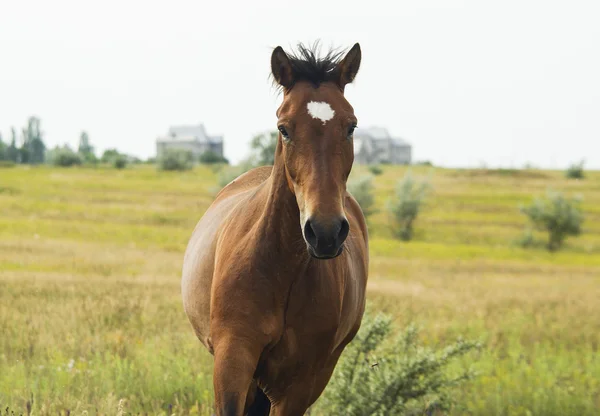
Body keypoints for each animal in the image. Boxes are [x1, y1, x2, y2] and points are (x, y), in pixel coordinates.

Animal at [182, 43, 370, 416]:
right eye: (284, 128)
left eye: (351, 127)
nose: (325, 231)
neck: (280, 268)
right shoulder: (232, 359)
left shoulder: (299, 382)